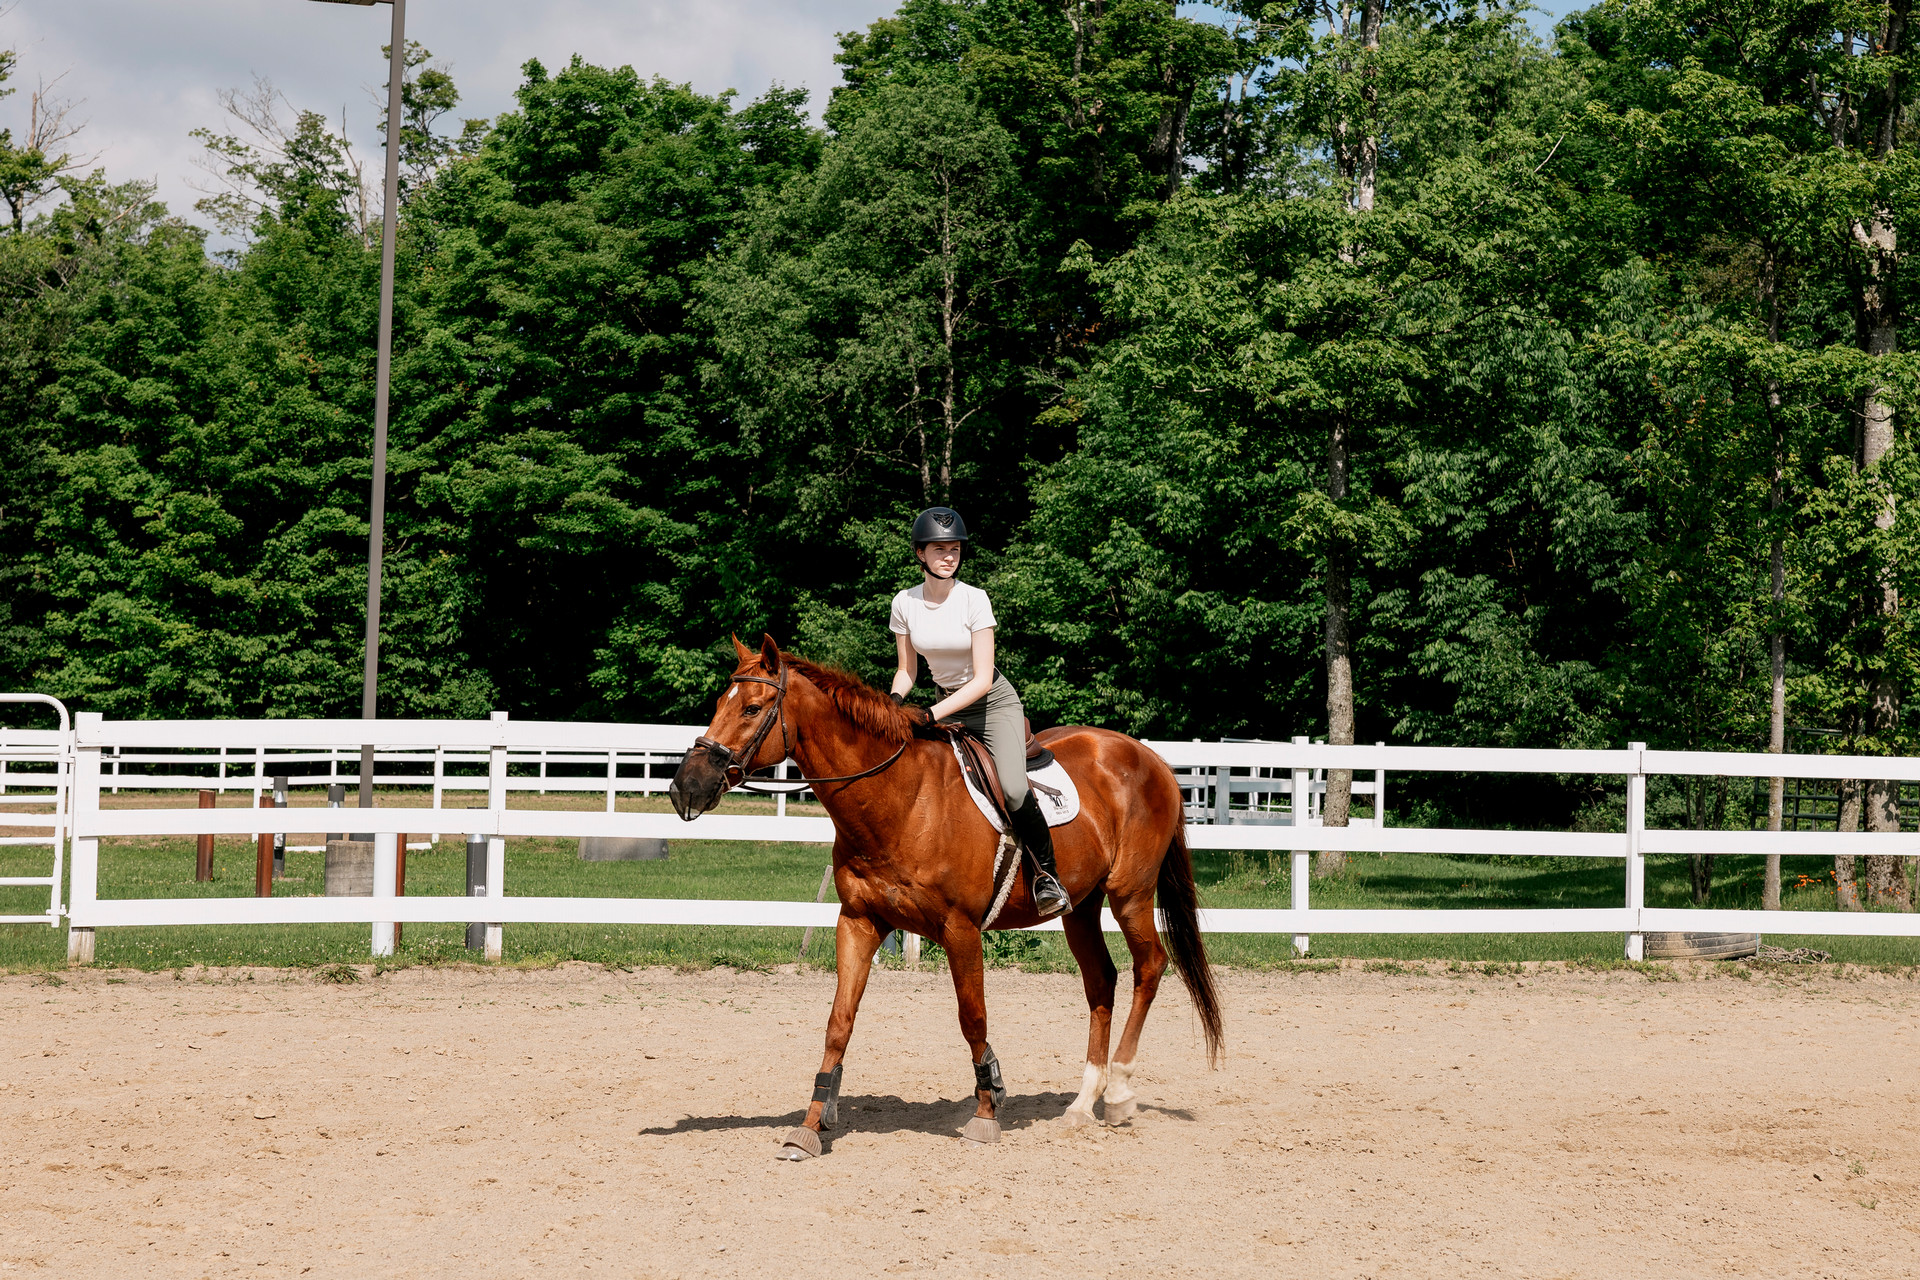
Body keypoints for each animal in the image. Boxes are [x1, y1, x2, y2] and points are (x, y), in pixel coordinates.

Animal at [667, 635, 1224, 1159]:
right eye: (719, 703)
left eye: (751, 708)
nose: (684, 787)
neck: (902, 798)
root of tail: (1149, 757)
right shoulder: (858, 922)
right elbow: (838, 1023)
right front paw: (809, 1127)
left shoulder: (961, 930)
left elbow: (973, 1019)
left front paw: (986, 1112)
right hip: (1081, 907)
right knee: (1102, 981)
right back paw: (1083, 1103)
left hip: (1130, 894)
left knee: (1149, 967)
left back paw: (1121, 1093)